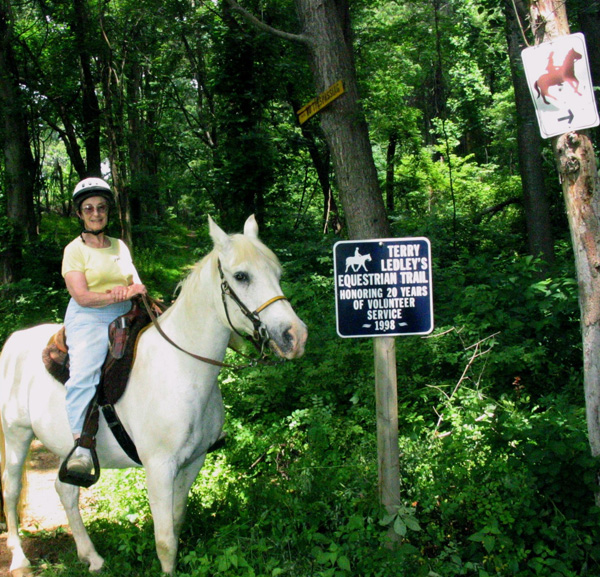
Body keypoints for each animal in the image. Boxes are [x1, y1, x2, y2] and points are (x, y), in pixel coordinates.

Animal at [0, 214, 308, 572]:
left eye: (277, 274)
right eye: (241, 276)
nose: (295, 336)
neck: (181, 366)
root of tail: (13, 342)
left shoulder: (193, 462)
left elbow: (175, 523)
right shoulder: (159, 468)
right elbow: (165, 542)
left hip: (66, 448)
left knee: (65, 490)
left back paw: (92, 556)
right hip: (17, 436)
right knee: (11, 490)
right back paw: (20, 559)